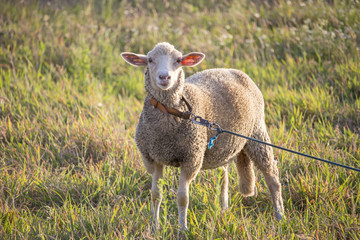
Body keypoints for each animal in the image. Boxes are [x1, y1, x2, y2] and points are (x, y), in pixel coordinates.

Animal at [121, 42, 284, 235]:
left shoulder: (191, 158)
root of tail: (231, 70)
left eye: (178, 60)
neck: (170, 114)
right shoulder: (153, 159)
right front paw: (155, 227)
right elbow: (155, 194)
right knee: (225, 175)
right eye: (150, 60)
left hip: (257, 134)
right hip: (226, 144)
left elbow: (182, 198)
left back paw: (280, 216)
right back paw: (224, 210)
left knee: (272, 176)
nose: (164, 77)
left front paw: (182, 230)